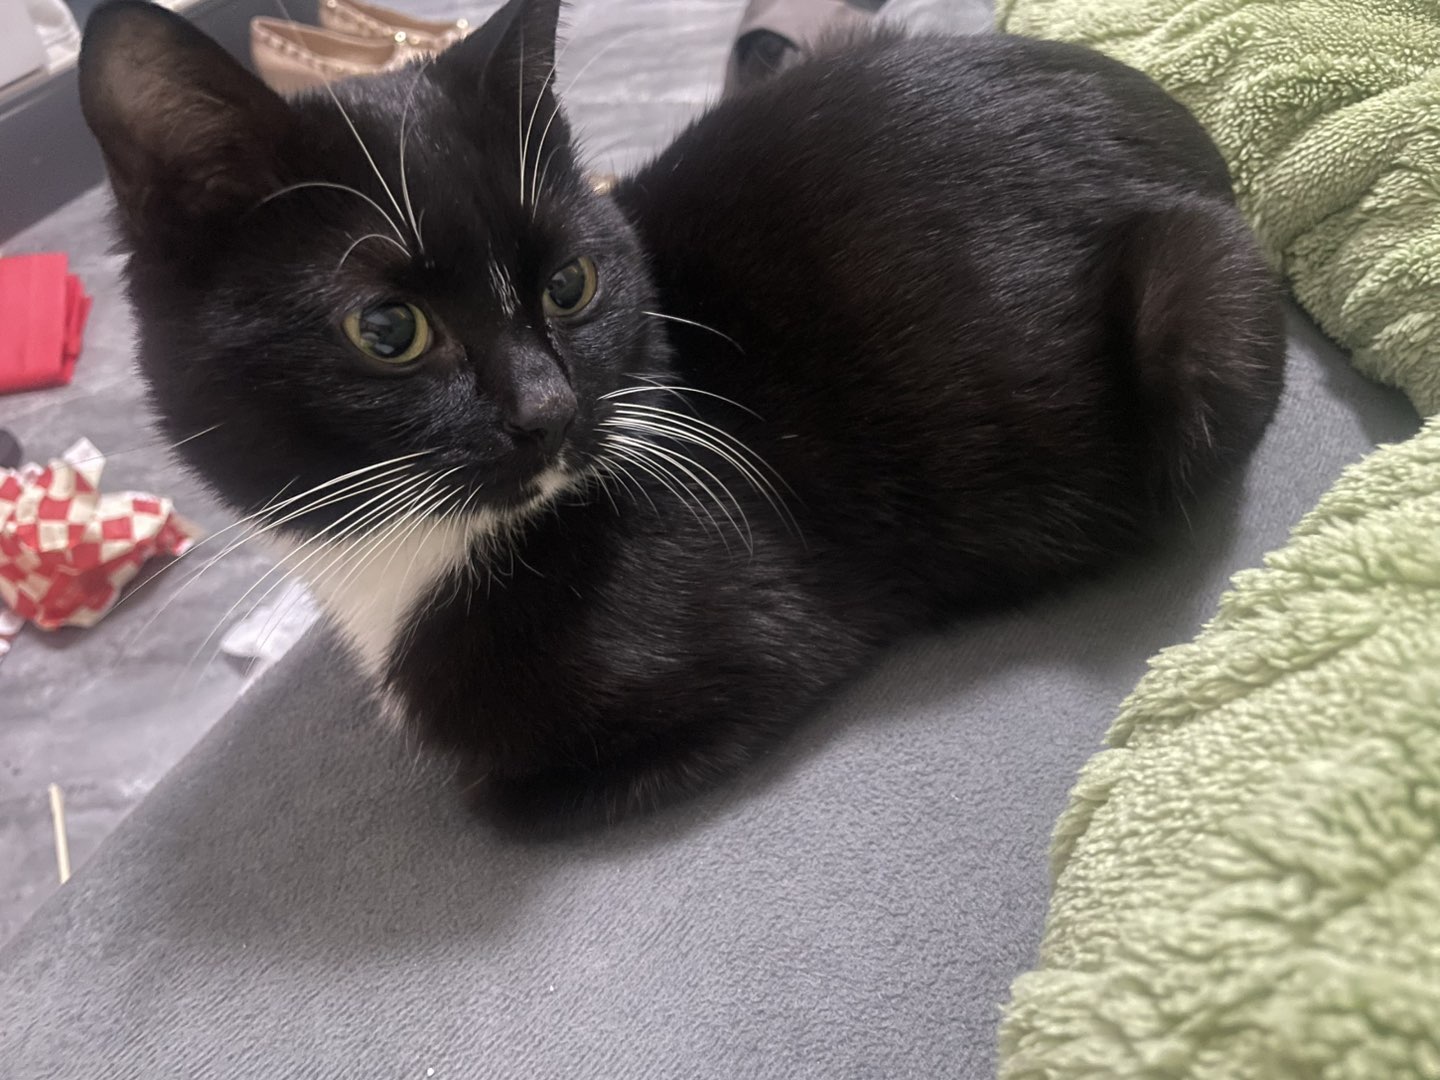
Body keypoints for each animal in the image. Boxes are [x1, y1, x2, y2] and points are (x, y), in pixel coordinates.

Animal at [79, 0, 1284, 832]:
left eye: (570, 285)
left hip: (1202, 292)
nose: (549, 407)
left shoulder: (768, 644)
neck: (413, 558)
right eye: (388, 329)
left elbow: (499, 798)